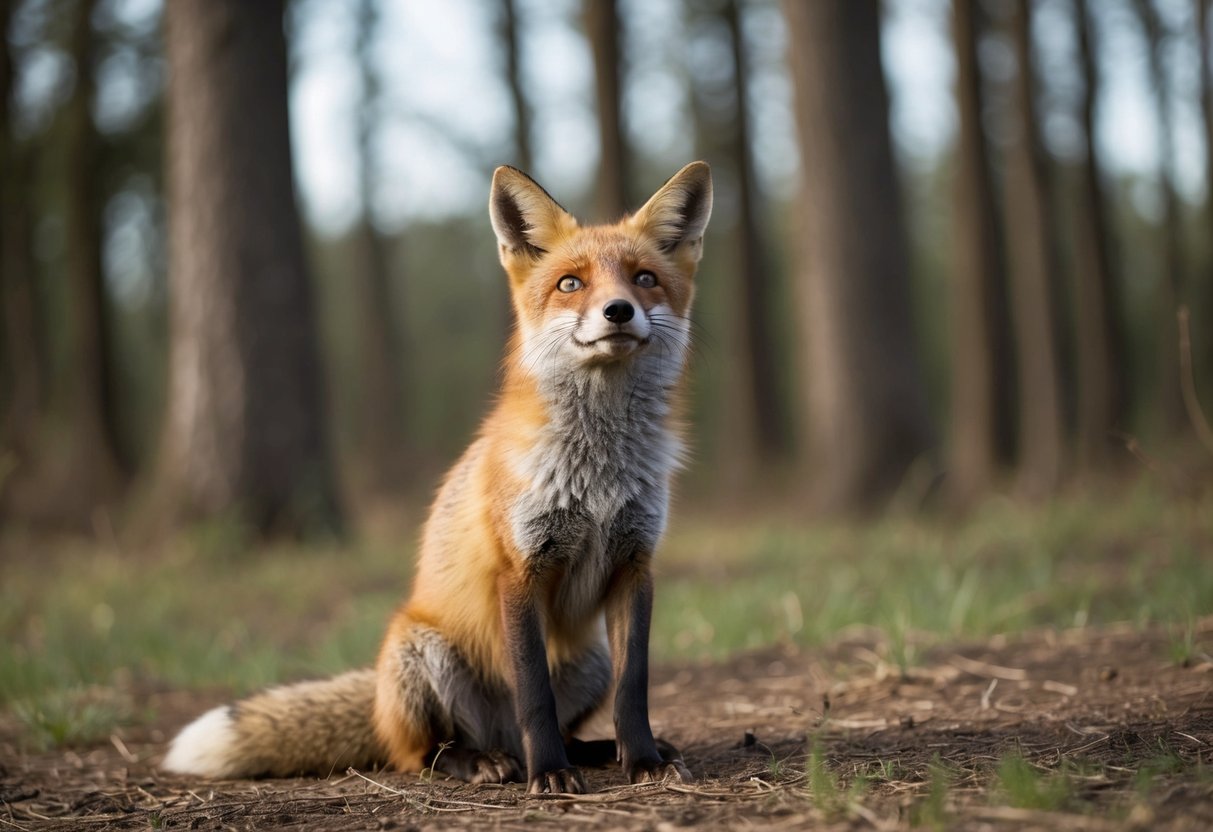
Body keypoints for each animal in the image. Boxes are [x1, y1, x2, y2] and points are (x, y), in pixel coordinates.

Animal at [163, 161, 713, 794]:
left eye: (645, 279)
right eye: (571, 284)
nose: (618, 310)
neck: (598, 474)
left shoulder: (634, 566)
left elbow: (634, 688)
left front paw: (642, 759)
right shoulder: (518, 571)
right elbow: (534, 695)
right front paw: (549, 775)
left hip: (590, 655)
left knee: (564, 726)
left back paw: (588, 752)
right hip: (421, 652)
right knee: (426, 751)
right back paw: (488, 762)